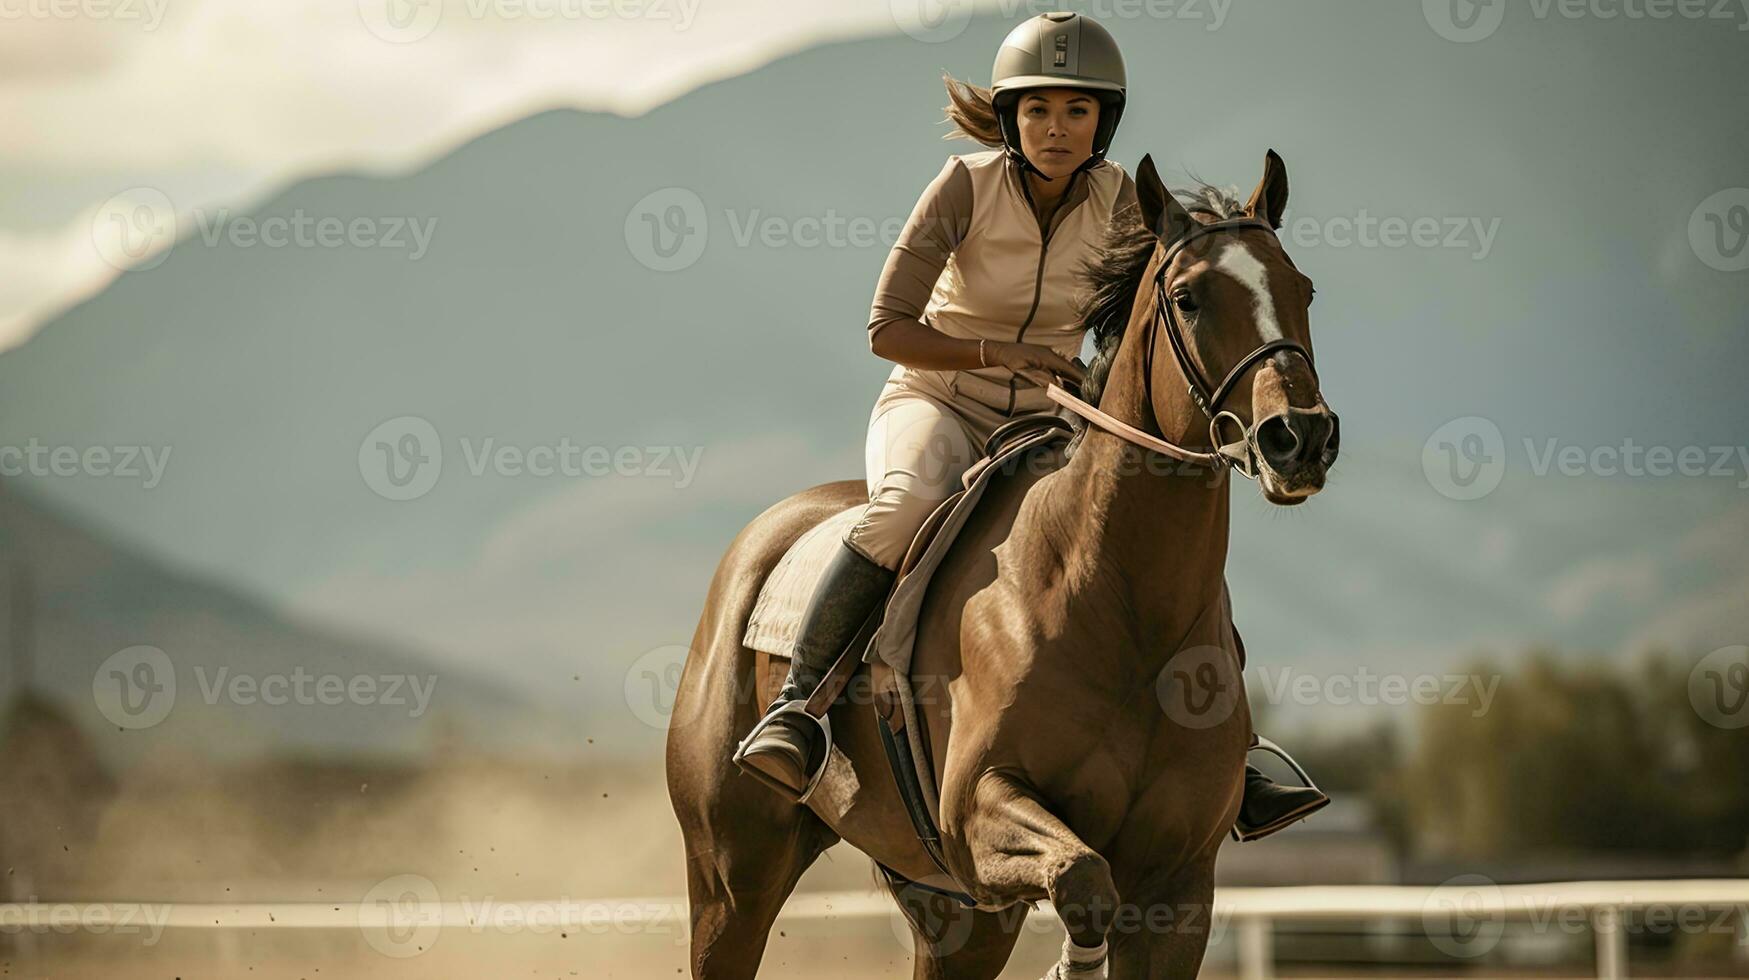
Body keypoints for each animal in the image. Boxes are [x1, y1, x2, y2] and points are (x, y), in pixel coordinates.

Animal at [668, 147, 1336, 980]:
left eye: (1301, 288)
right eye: (1187, 298)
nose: (1298, 437)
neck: (1121, 603)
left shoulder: (1180, 888)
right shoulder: (978, 811)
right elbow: (1081, 876)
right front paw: (1072, 965)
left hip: (948, 912)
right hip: (733, 880)